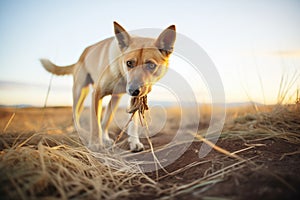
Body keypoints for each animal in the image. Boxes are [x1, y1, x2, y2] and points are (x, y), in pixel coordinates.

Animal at [40, 21, 176, 152]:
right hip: (80, 92)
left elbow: (124, 122)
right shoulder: (96, 94)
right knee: (76, 115)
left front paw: (134, 142)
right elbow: (95, 123)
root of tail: (83, 53)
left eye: (151, 65)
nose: (133, 90)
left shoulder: (126, 98)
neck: (121, 73)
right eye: (129, 63)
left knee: (105, 119)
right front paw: (95, 143)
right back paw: (81, 133)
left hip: (112, 99)